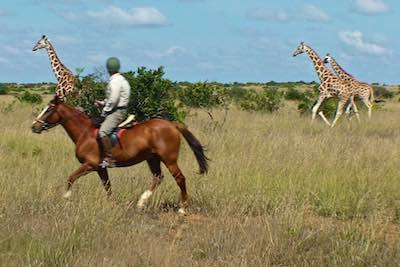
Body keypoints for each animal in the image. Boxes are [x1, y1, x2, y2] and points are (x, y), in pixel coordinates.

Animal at [30, 97, 209, 216]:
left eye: (49, 109)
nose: (34, 126)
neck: (85, 133)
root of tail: (173, 124)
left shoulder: (90, 165)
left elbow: (71, 177)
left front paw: (66, 197)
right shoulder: (100, 168)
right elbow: (107, 186)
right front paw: (112, 205)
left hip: (169, 159)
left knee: (180, 178)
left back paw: (182, 209)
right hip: (152, 159)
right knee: (158, 178)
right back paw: (142, 202)